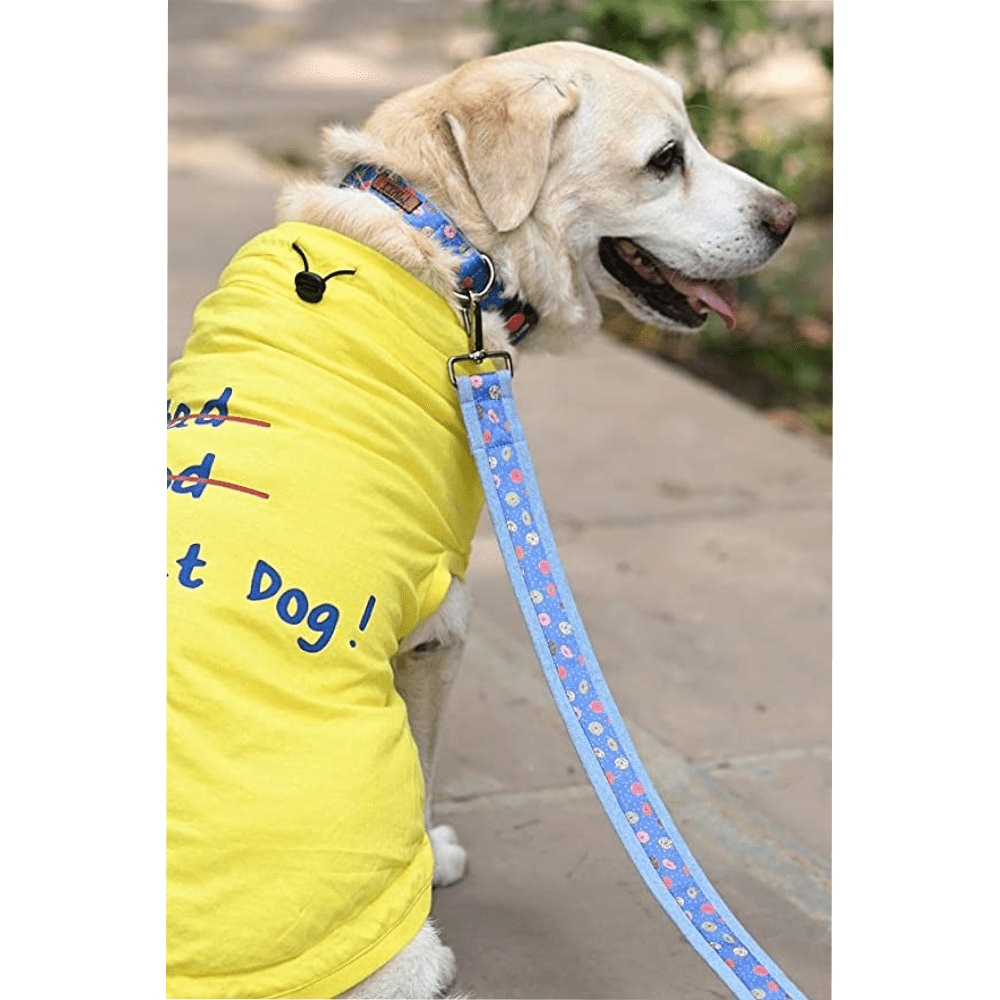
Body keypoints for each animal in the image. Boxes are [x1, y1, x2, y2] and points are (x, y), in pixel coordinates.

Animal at [166, 37, 796, 1000]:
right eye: (665, 160)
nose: (788, 219)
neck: (442, 234)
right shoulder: (441, 622)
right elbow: (424, 778)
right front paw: (430, 856)